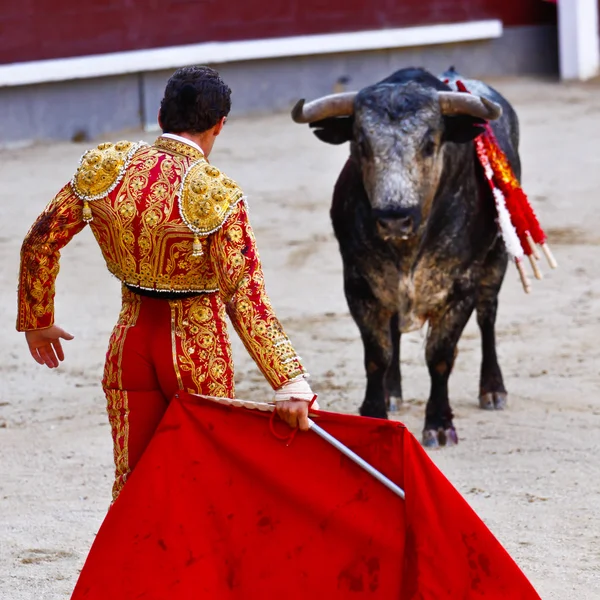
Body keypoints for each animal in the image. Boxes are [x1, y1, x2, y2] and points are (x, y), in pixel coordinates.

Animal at [292, 68, 520, 448]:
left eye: (429, 144)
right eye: (362, 145)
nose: (394, 218)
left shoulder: (459, 290)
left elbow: (440, 358)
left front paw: (440, 424)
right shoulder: (359, 285)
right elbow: (377, 355)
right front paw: (374, 411)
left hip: (497, 257)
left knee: (488, 317)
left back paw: (493, 389)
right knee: (395, 333)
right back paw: (392, 392)